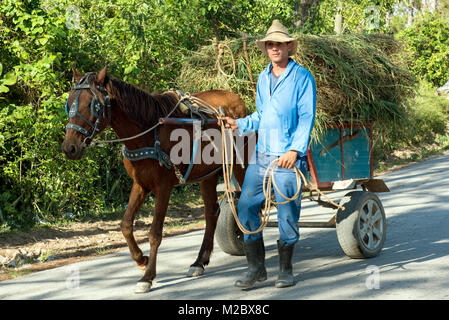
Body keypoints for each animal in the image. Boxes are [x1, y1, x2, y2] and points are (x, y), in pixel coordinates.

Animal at [60, 66, 247, 294]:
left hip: (239, 163)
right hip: (208, 174)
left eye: (92, 105)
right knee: (212, 213)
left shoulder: (164, 187)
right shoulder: (141, 184)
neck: (148, 132)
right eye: (69, 102)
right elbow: (125, 225)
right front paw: (141, 259)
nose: (69, 147)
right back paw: (199, 261)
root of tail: (236, 99)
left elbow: (155, 233)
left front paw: (147, 277)